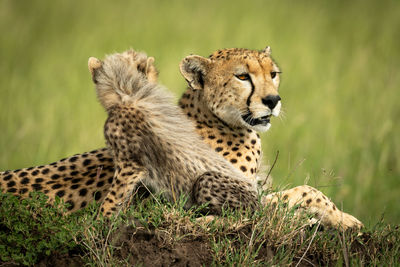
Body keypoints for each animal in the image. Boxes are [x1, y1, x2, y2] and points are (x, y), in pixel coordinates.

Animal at [0, 48, 362, 230]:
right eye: (242, 76)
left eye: (272, 73)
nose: (272, 100)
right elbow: (302, 192)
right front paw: (345, 219)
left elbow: (300, 192)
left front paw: (339, 217)